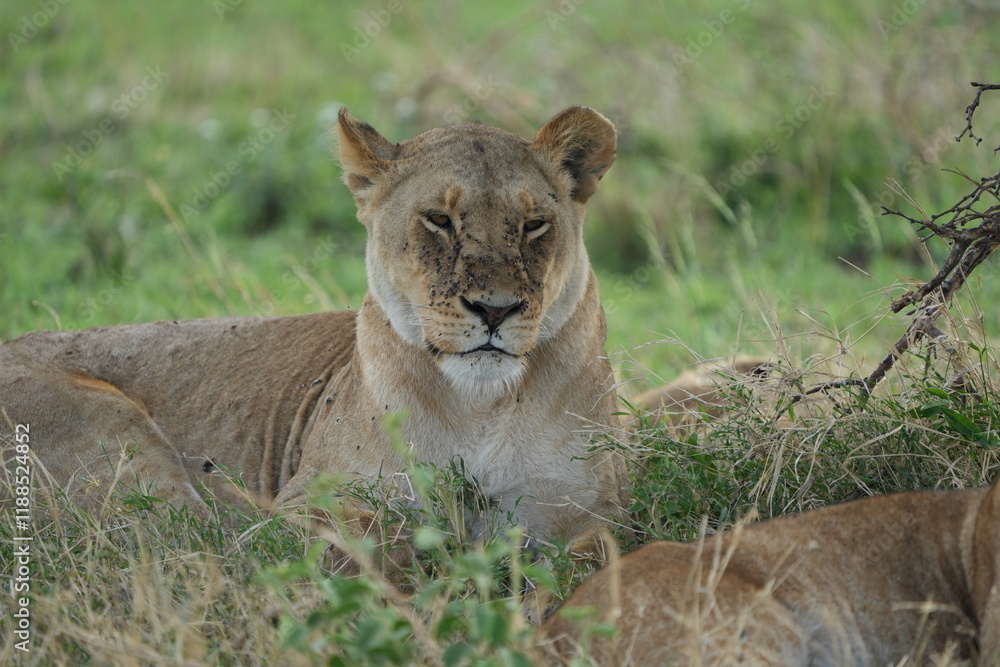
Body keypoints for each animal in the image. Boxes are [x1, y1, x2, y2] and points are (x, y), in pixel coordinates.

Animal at [0, 106, 630, 579]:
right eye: (438, 220)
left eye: (534, 225)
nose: (496, 309)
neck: (480, 405)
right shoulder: (303, 504)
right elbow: (360, 540)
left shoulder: (586, 511)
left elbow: (594, 560)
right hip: (115, 436)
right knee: (202, 551)